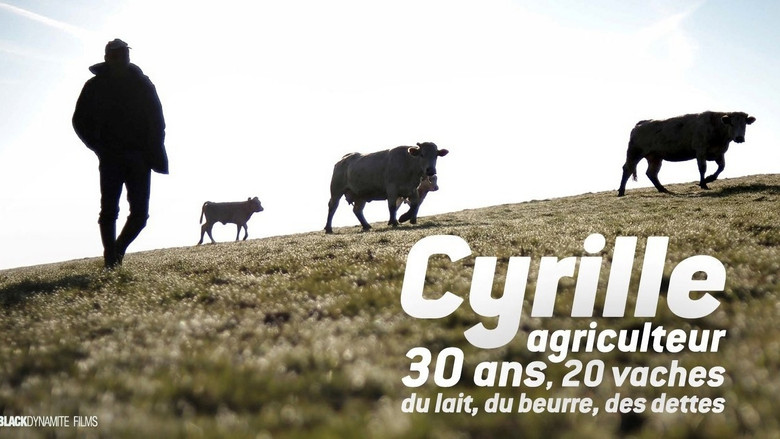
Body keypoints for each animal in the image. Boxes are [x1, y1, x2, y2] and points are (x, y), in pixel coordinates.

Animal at [618, 111, 755, 196]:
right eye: (731, 123)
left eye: (744, 124)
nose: (739, 138)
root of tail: (641, 123)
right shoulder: (700, 150)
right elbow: (702, 168)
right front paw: (703, 184)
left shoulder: (719, 153)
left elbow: (721, 167)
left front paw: (710, 178)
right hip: (634, 152)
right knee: (628, 168)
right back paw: (621, 191)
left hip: (655, 157)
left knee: (651, 173)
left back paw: (663, 189)